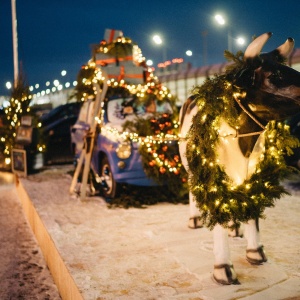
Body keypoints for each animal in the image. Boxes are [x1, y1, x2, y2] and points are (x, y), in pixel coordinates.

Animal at [178, 32, 300, 284]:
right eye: (274, 75)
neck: (241, 141)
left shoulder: (255, 176)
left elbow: (252, 213)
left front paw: (256, 253)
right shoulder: (213, 179)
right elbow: (218, 219)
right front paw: (223, 269)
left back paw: (235, 228)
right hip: (192, 168)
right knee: (193, 191)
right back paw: (195, 220)